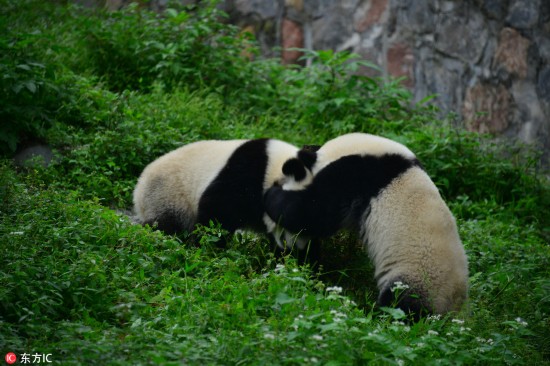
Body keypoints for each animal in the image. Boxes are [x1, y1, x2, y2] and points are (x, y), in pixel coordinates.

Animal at [266, 133, 470, 318]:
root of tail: (453, 308)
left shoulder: (352, 176)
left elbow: (315, 211)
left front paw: (272, 195)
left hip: (417, 278)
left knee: (401, 306)